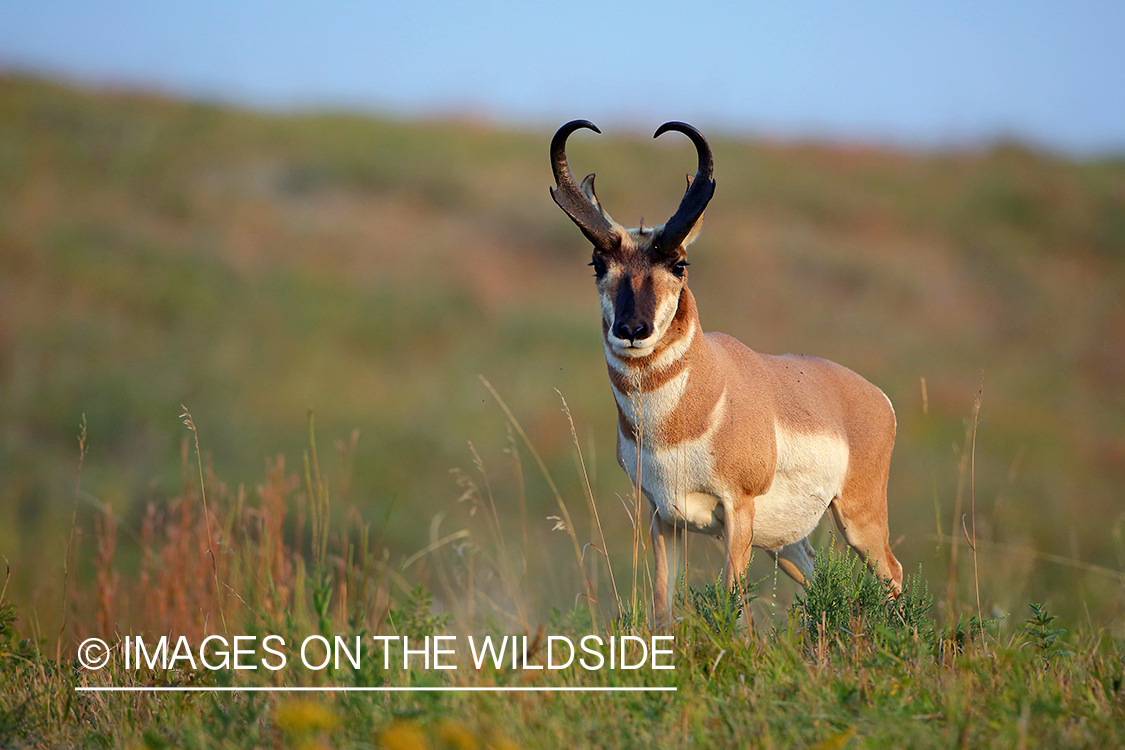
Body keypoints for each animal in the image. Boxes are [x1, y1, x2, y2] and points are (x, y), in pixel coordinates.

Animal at [549, 118, 900, 620]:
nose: (632, 329)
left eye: (679, 263)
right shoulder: (663, 517)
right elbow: (662, 607)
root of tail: (874, 396)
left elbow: (732, 605)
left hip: (857, 517)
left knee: (893, 576)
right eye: (598, 263)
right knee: (818, 577)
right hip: (785, 544)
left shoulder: (738, 512)